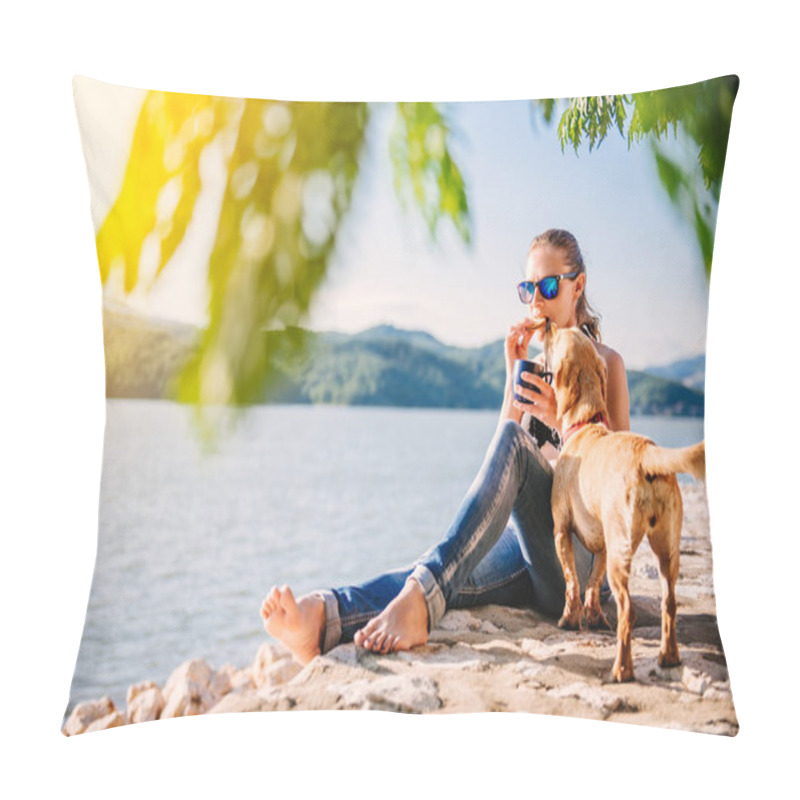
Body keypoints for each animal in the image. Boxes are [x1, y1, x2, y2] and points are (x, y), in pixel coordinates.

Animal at [544, 324, 708, 680]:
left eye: (559, 337)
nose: (552, 326)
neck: (587, 422)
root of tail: (646, 451)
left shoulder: (561, 530)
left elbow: (572, 581)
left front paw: (569, 619)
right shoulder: (604, 544)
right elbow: (592, 583)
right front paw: (593, 618)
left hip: (623, 554)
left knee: (629, 611)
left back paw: (621, 669)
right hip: (666, 550)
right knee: (669, 603)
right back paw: (668, 657)